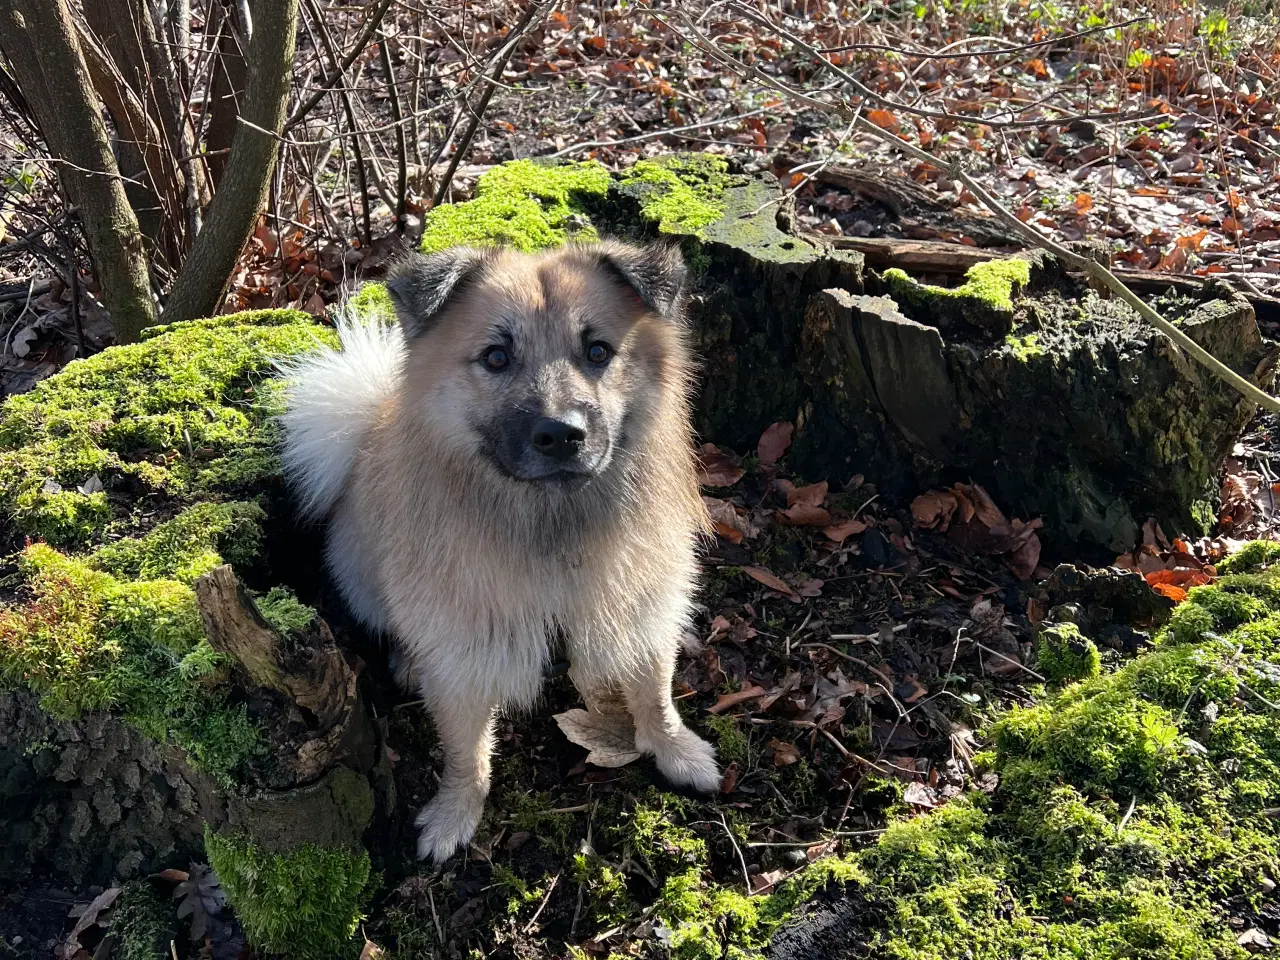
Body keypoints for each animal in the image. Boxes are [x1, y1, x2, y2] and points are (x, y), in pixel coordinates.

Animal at [280, 240, 721, 865]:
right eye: (496, 357)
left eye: (598, 351)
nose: (561, 433)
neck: (551, 529)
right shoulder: (462, 652)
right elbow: (466, 751)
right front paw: (455, 813)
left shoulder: (641, 609)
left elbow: (654, 694)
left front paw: (677, 753)